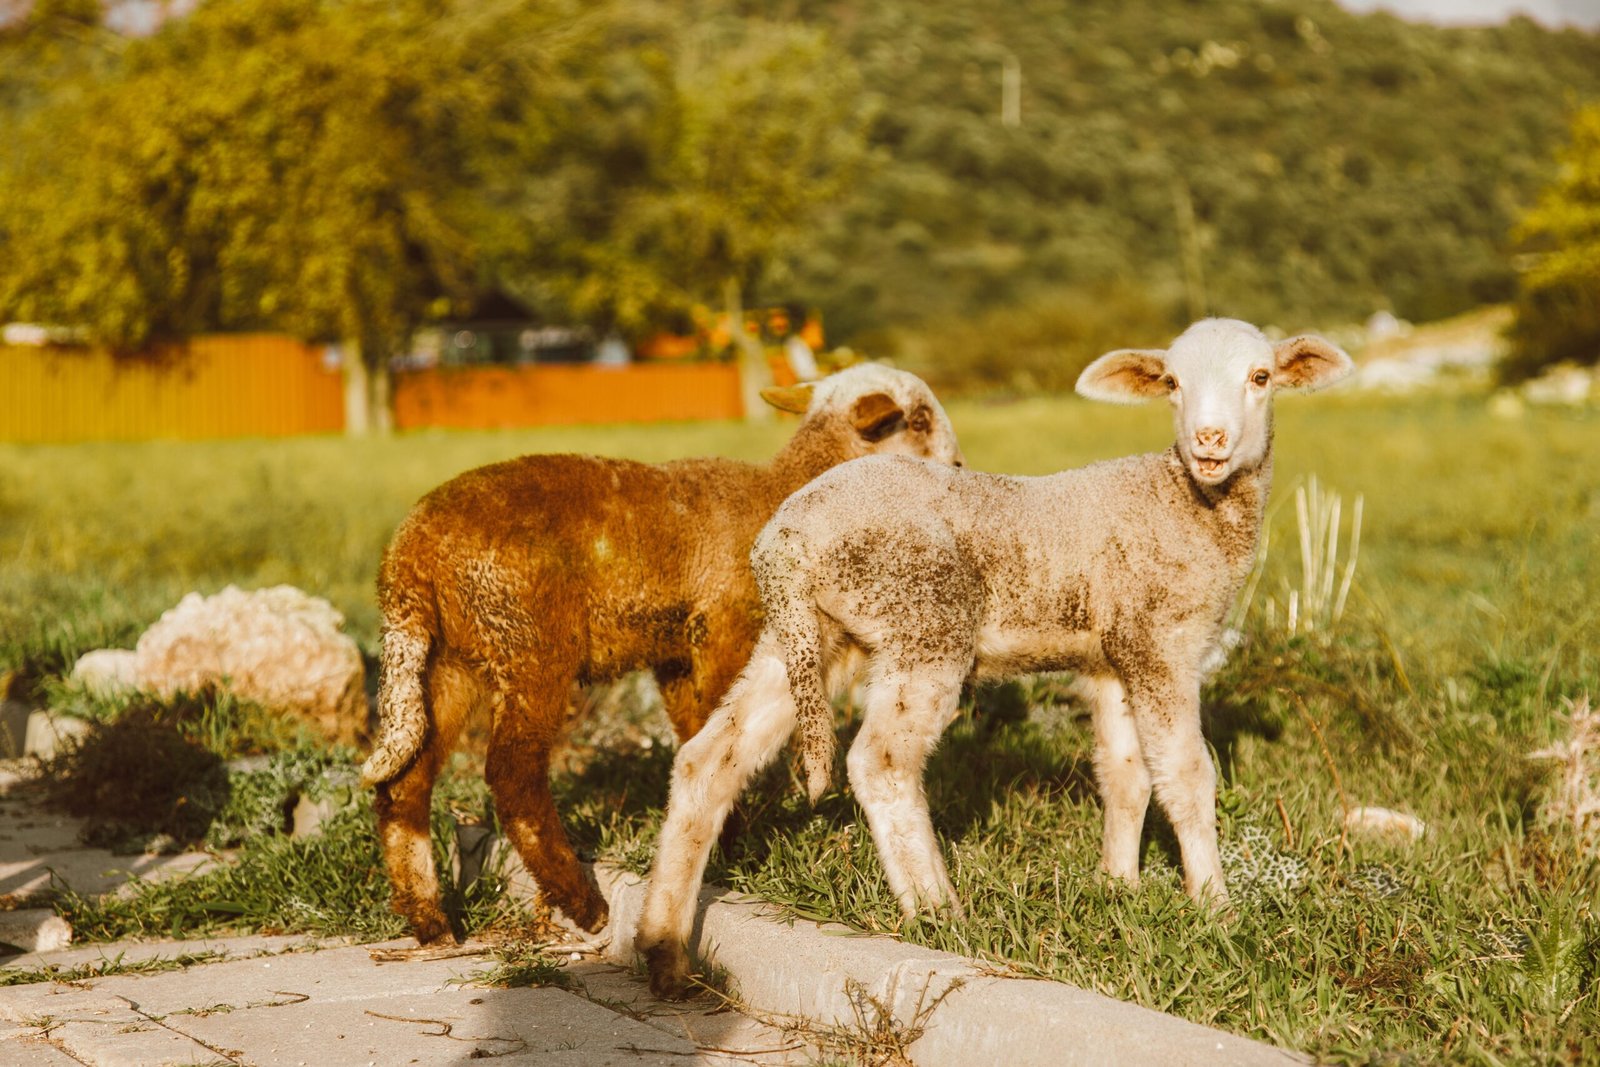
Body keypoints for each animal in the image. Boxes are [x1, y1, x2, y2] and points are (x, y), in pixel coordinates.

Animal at [360, 363, 964, 947]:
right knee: (512, 777)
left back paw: (430, 922)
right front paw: (734, 843)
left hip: (450, 658)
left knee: (405, 783)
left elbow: (698, 730)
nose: (958, 466)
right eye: (917, 420)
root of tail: (408, 557)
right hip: (529, 644)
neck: (783, 490)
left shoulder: (675, 655)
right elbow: (723, 736)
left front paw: (720, 840)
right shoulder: (724, 628)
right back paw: (583, 905)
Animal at [636, 318, 1352, 998]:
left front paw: (1118, 887)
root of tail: (786, 537)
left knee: (710, 757)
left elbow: (1126, 774)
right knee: (880, 760)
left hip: (812, 635)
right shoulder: (1161, 643)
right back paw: (937, 910)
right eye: (1172, 383)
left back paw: (663, 948)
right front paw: (1216, 909)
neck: (1184, 501)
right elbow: (1186, 774)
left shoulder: (1115, 656)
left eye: (1261, 377)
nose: (1209, 441)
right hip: (925, 618)